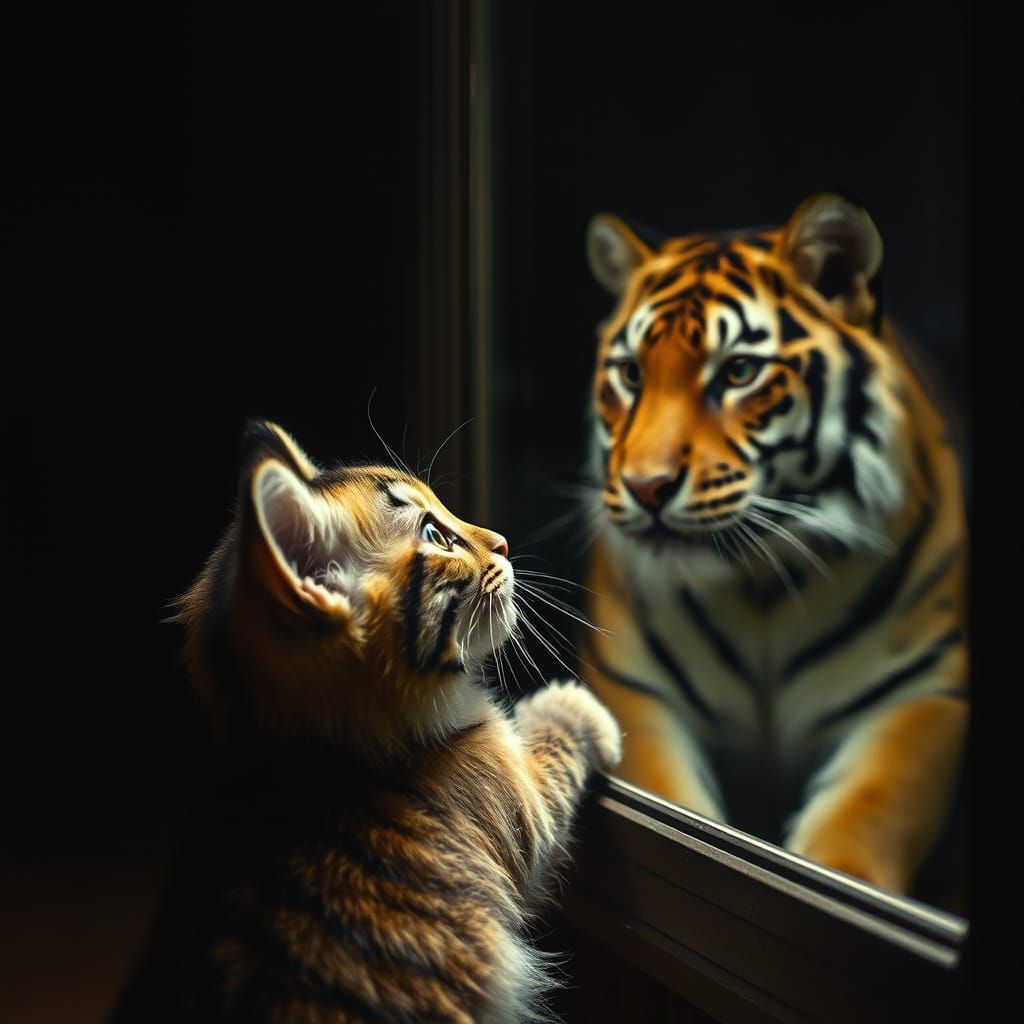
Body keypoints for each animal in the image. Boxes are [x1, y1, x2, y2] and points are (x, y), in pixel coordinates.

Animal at [578, 193, 968, 896]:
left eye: (738, 372)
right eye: (630, 374)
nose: (646, 486)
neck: (760, 587)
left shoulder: (924, 688)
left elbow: (870, 808)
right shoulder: (631, 684)